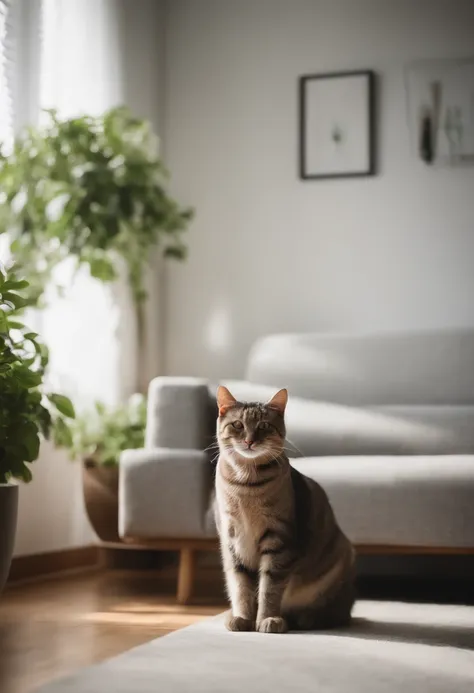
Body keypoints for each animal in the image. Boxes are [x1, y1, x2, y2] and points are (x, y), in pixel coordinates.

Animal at [215, 384, 356, 632]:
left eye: (263, 426)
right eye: (238, 425)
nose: (249, 441)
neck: (246, 485)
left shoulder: (279, 539)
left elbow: (269, 588)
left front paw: (267, 619)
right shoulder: (232, 540)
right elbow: (241, 587)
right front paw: (242, 618)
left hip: (341, 562)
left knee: (336, 613)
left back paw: (303, 618)